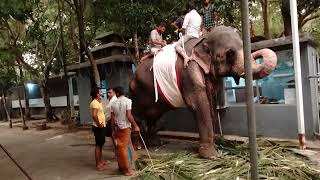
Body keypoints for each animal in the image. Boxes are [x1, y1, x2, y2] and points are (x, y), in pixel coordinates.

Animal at [129, 25, 276, 159]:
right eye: (229, 54)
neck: (203, 40)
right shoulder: (188, 69)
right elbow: (199, 104)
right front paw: (212, 156)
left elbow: (211, 102)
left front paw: (217, 146)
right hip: (136, 91)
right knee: (136, 115)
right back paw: (138, 146)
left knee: (155, 116)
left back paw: (156, 143)